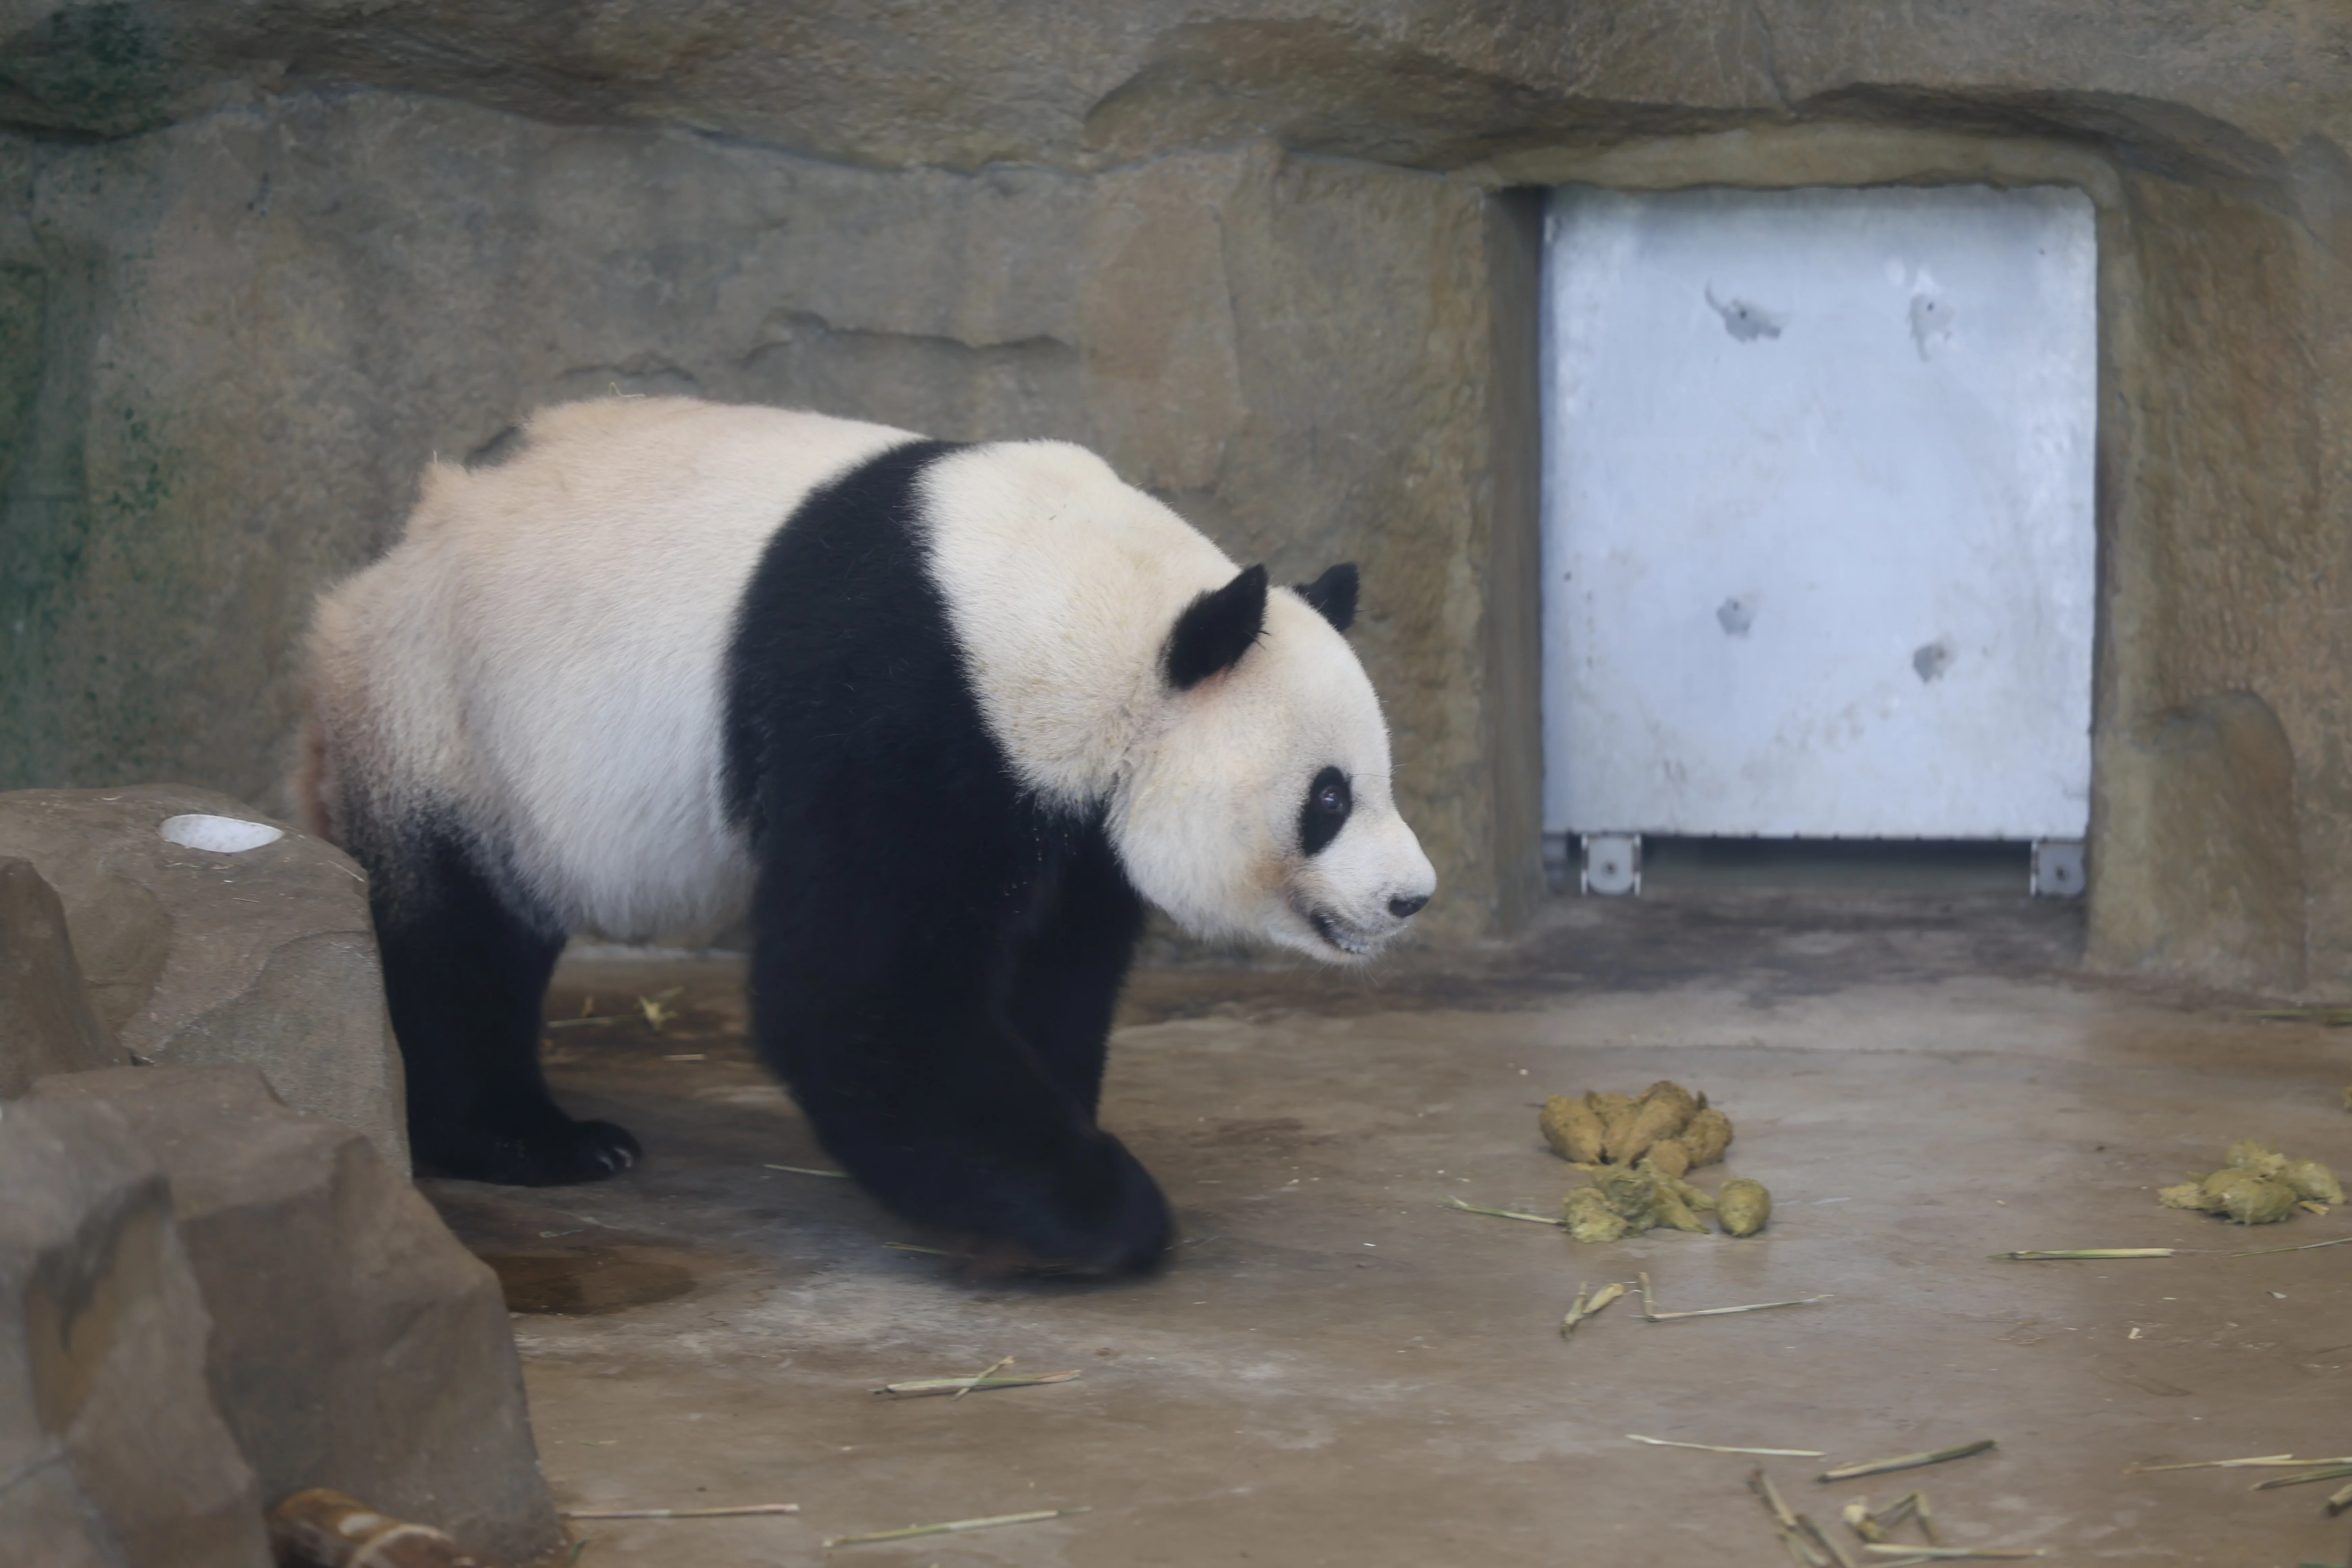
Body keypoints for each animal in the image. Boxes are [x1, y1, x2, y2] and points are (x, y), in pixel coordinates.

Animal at [299, 398, 1436, 1275]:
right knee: (458, 941)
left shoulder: (1067, 806)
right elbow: (861, 992)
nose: (1410, 896)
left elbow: (1050, 972)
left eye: (1377, 781)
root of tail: (378, 571)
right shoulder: (903, 699)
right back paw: (534, 1138)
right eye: (1328, 798)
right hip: (447, 723)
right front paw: (1100, 1211)